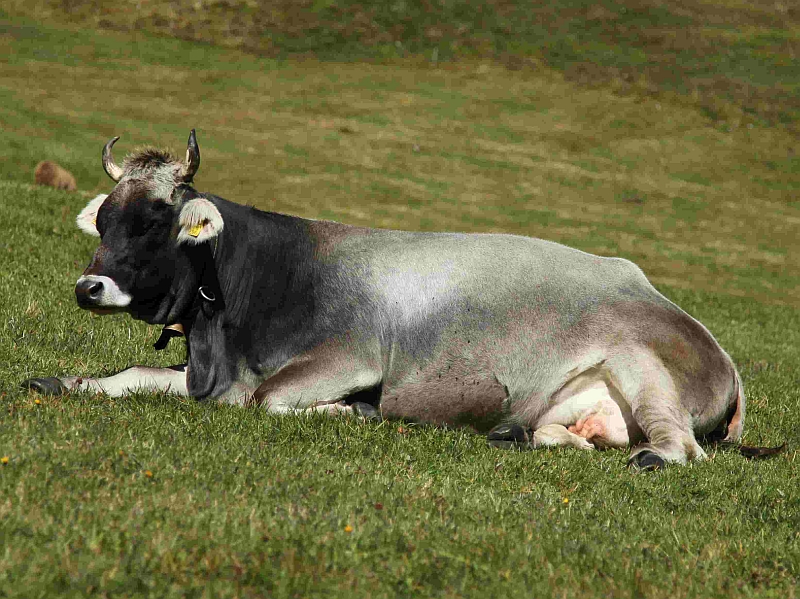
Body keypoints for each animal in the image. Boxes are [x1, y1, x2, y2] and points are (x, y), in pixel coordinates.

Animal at [23, 130, 745, 470]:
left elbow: (269, 400)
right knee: (554, 434)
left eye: (154, 220)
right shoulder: (207, 373)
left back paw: (655, 455)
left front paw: (351, 412)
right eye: (105, 220)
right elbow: (129, 375)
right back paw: (523, 435)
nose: (90, 287)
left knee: (685, 447)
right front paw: (60, 380)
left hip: (644, 366)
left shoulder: (351, 356)